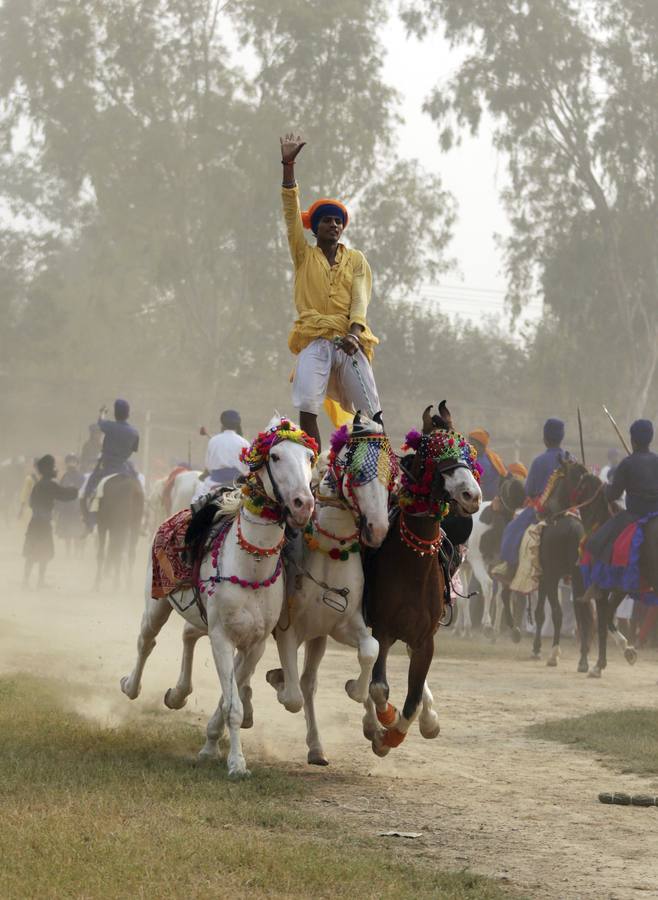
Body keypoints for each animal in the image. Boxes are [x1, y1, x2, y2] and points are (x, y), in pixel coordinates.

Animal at [120, 418, 316, 776]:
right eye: (276, 456)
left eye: (310, 457)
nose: (303, 504)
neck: (251, 568)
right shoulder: (223, 637)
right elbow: (233, 705)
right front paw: (237, 763)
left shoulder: (254, 644)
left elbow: (231, 696)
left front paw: (216, 745)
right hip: (157, 602)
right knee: (146, 640)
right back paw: (131, 685)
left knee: (188, 634)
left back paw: (178, 694)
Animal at [262, 414, 394, 768]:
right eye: (359, 472)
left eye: (393, 474)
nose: (378, 529)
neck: (330, 555)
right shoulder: (288, 631)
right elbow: (291, 695)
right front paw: (278, 680)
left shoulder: (341, 625)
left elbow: (370, 649)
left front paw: (354, 689)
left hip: (318, 637)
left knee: (309, 683)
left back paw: (319, 747)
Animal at [362, 404, 480, 756]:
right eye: (433, 452)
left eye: (466, 452)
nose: (471, 494)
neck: (412, 565)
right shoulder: (382, 630)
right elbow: (378, 687)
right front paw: (383, 726)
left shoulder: (425, 638)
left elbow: (412, 701)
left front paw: (399, 732)